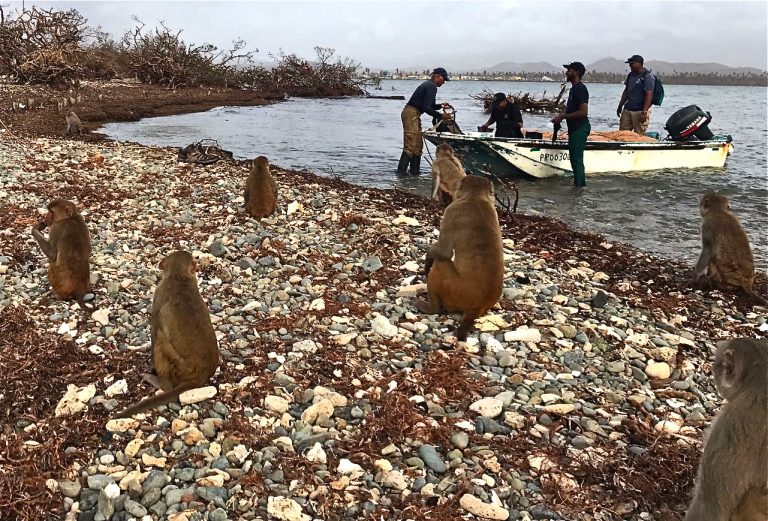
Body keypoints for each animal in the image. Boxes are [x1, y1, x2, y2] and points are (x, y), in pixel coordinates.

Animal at [116, 250, 219, 418]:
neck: (179, 277)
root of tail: (202, 375)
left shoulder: (158, 293)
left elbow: (154, 330)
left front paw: (151, 367)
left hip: (178, 365)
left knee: (160, 339)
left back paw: (158, 381)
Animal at [414, 175, 504, 341]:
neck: (475, 197)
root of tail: (479, 305)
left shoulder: (451, 210)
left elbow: (444, 252)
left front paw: (428, 260)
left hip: (453, 289)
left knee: (441, 263)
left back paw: (430, 307)